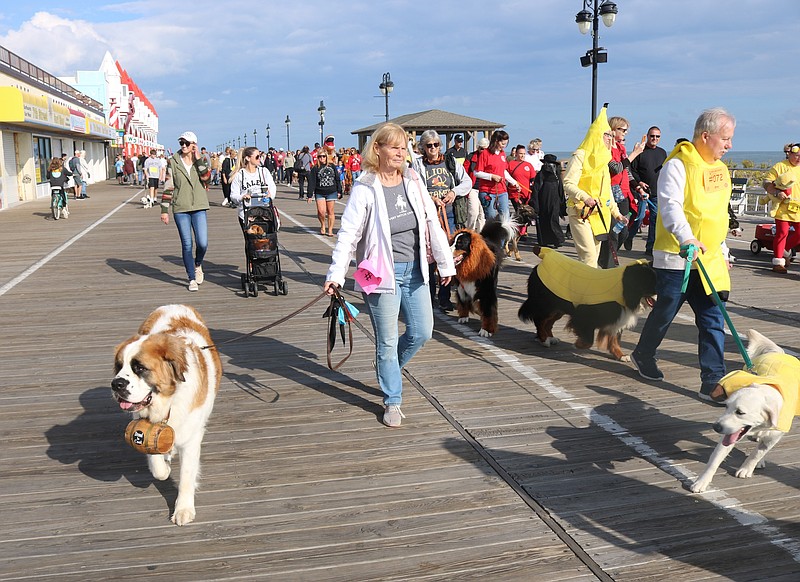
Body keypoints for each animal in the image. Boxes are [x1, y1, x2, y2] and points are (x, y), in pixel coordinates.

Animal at [111, 308, 220, 528]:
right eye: (119, 366)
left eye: (139, 368)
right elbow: (156, 465)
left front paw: (183, 509)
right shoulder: (146, 426)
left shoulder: (192, 438)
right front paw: (165, 468)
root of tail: (175, 305)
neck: (168, 402)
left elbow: (186, 475)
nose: (116, 384)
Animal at [520, 249, 656, 362]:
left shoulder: (617, 319)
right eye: (653, 284)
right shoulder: (584, 316)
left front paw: (620, 355)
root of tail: (544, 256)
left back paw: (550, 338)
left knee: (548, 323)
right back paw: (544, 339)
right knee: (540, 320)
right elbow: (589, 340)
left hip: (558, 308)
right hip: (547, 306)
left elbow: (614, 339)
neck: (623, 289)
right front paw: (577, 344)